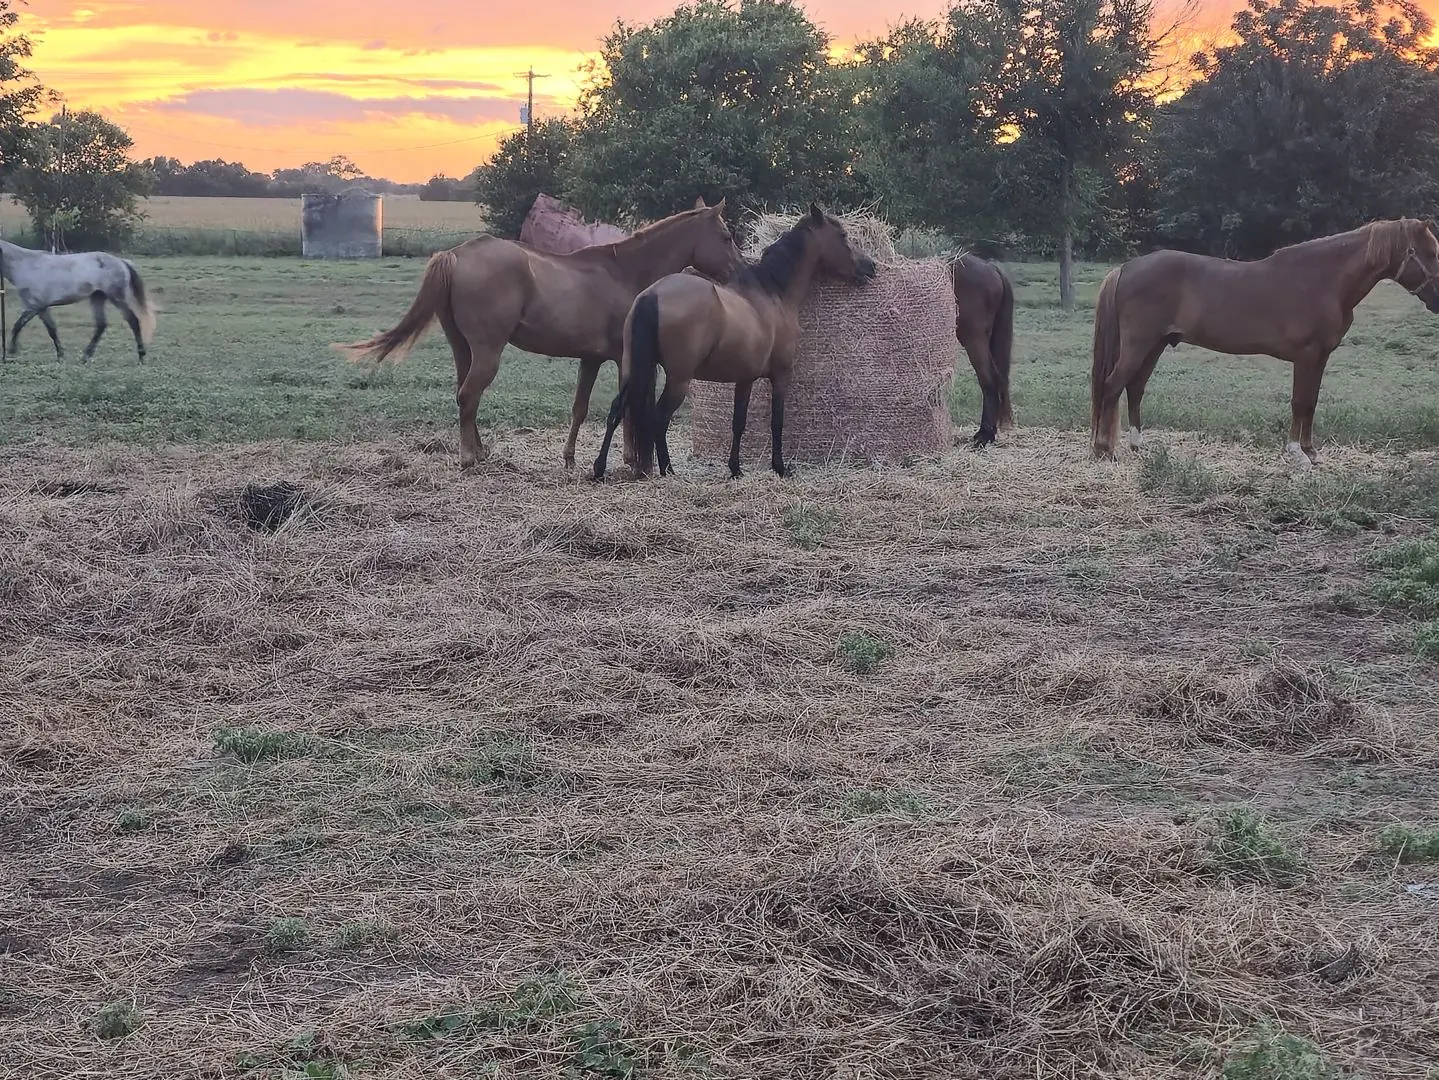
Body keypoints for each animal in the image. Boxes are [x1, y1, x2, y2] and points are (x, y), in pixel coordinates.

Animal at [0, 239, 157, 363]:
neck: (26, 266)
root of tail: (121, 262)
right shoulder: (41, 307)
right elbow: (52, 329)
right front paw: (60, 355)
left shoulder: (34, 305)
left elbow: (18, 325)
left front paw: (12, 351)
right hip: (98, 297)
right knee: (101, 325)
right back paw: (86, 357)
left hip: (116, 297)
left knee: (133, 320)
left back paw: (141, 356)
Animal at [335, 197, 744, 470]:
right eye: (726, 236)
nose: (739, 272)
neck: (625, 271)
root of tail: (455, 255)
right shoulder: (623, 358)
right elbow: (626, 406)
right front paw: (630, 460)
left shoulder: (591, 359)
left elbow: (580, 408)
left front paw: (569, 459)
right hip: (487, 352)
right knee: (469, 396)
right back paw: (468, 458)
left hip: (462, 349)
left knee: (464, 395)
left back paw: (480, 451)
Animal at [592, 203, 877, 482]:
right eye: (843, 235)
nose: (870, 266)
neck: (773, 292)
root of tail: (652, 294)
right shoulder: (781, 375)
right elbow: (777, 422)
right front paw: (779, 467)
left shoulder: (745, 378)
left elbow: (738, 423)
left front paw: (735, 468)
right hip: (678, 380)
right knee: (659, 419)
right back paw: (668, 470)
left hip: (635, 370)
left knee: (616, 411)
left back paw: (599, 468)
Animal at [1090, 218, 1439, 466]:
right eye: (1428, 253)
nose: (1437, 299)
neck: (1323, 281)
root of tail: (1126, 267)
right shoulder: (1307, 356)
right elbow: (1300, 401)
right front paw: (1297, 453)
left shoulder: (1320, 357)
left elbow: (1311, 402)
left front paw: (1311, 452)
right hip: (1139, 345)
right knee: (1112, 386)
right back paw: (1104, 450)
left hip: (1156, 345)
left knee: (1135, 388)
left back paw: (1137, 445)